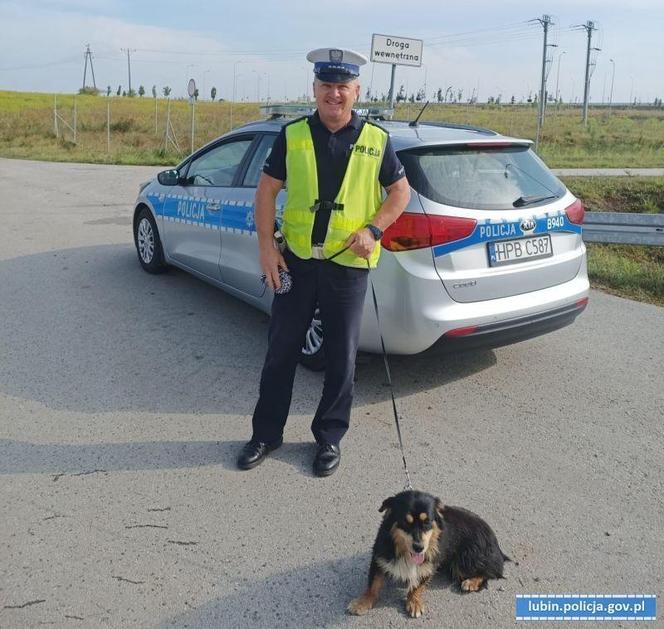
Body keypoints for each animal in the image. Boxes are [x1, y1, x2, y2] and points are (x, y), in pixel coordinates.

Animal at [348, 488, 508, 616]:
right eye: (406, 522)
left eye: (427, 522)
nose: (419, 548)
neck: (405, 552)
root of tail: (496, 545)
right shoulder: (379, 557)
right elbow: (373, 584)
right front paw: (362, 603)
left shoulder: (430, 563)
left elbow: (418, 584)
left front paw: (414, 602)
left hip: (465, 560)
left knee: (492, 572)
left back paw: (471, 582)